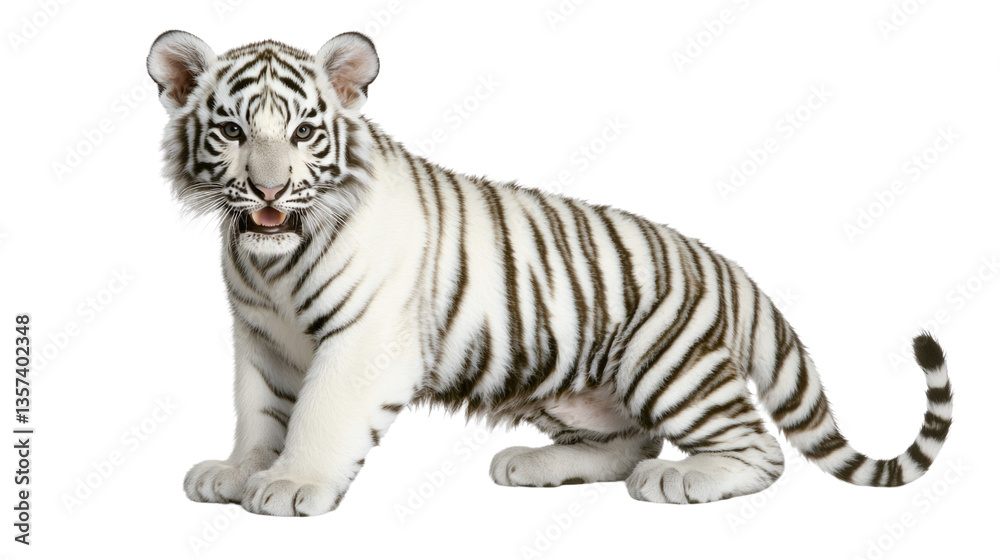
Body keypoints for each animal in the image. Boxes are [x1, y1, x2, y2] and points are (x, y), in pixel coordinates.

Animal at [147, 30, 954, 516]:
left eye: (306, 133)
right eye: (232, 132)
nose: (270, 191)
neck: (272, 262)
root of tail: (726, 267)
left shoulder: (363, 341)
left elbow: (318, 413)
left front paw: (290, 485)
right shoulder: (263, 339)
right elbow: (261, 410)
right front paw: (237, 471)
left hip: (669, 364)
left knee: (753, 448)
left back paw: (681, 479)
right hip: (569, 388)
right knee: (630, 441)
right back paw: (531, 467)